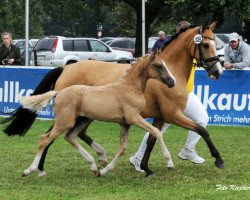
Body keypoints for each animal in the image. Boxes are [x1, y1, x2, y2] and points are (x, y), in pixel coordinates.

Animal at [19, 51, 176, 177]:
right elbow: (156, 132)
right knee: (45, 139)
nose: (172, 82)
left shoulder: (124, 123)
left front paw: (105, 170)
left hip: (81, 120)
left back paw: (94, 167)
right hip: (65, 122)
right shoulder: (134, 118)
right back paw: (29, 170)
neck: (129, 88)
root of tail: (59, 92)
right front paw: (169, 163)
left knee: (70, 137)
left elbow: (122, 148)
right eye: (159, 65)